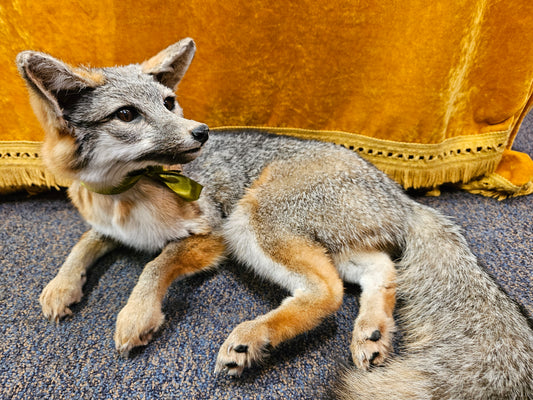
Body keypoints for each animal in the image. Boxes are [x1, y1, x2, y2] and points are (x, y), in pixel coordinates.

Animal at [16, 38, 532, 400]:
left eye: (168, 103)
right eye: (126, 114)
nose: (201, 132)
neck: (126, 195)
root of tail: (399, 194)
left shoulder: (211, 235)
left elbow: (154, 265)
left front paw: (136, 314)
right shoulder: (108, 227)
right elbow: (82, 244)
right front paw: (61, 287)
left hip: (252, 221)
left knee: (327, 291)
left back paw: (253, 338)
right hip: (320, 242)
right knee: (381, 270)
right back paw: (373, 331)